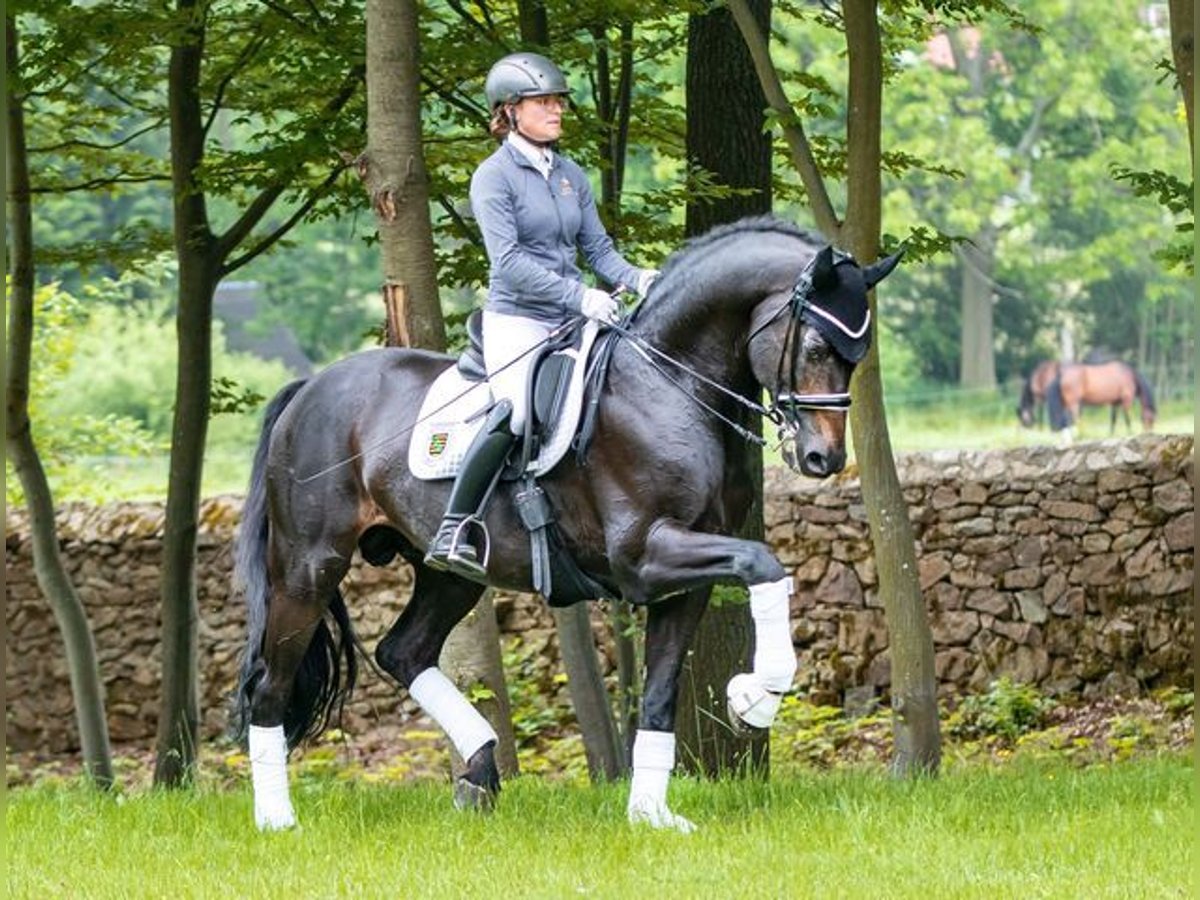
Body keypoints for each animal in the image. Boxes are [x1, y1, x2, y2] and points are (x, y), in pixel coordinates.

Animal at [232, 216, 902, 833]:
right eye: (814, 348)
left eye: (858, 356)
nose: (822, 459)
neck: (669, 386)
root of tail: (309, 388)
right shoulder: (645, 556)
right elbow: (764, 563)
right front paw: (755, 701)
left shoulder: (684, 580)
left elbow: (661, 693)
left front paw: (651, 812)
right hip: (309, 567)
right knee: (270, 686)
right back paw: (276, 819)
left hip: (450, 573)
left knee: (403, 651)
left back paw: (480, 771)